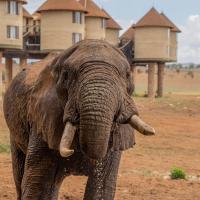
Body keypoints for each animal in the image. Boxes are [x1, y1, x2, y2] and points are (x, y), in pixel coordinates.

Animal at [3, 39, 155, 199]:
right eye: (66, 76)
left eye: (127, 75)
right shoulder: (43, 118)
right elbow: (37, 187)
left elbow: (102, 187)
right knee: (20, 174)